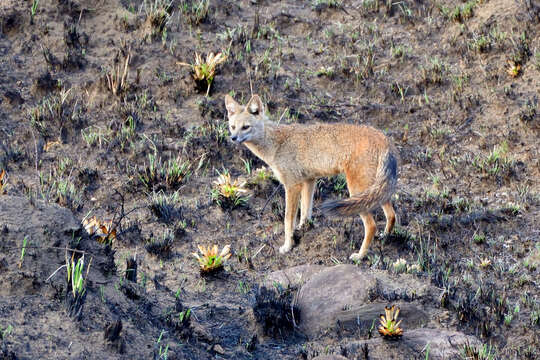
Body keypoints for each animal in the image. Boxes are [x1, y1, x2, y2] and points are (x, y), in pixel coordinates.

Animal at [226, 94, 398, 260]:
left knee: (371, 225)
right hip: (374, 192)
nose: (233, 138)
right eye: (232, 127)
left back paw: (360, 256)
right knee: (391, 215)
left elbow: (288, 219)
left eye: (245, 127)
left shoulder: (292, 185)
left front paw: (287, 246)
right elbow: (305, 211)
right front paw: (304, 229)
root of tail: (383, 138)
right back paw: (385, 238)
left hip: (356, 191)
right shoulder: (309, 180)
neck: (277, 144)